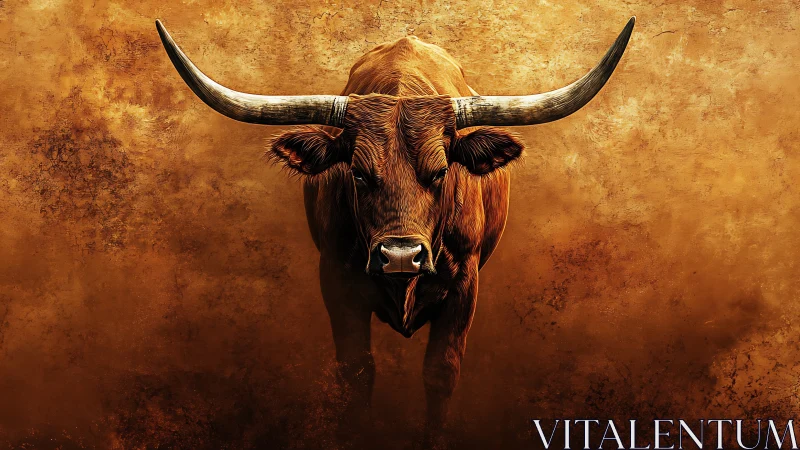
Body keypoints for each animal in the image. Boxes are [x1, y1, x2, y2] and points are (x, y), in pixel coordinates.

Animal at [156, 17, 634, 443]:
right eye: (358, 173)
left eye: (441, 172)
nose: (401, 256)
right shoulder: (336, 279)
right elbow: (356, 373)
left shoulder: (465, 283)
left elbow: (440, 371)